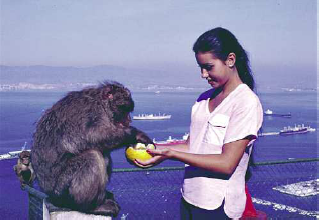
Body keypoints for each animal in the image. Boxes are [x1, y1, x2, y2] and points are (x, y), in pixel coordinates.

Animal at [31, 81, 154, 217]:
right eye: (123, 109)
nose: (128, 120)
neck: (101, 103)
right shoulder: (92, 111)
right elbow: (90, 135)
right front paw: (135, 134)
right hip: (61, 189)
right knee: (92, 156)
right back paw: (89, 206)